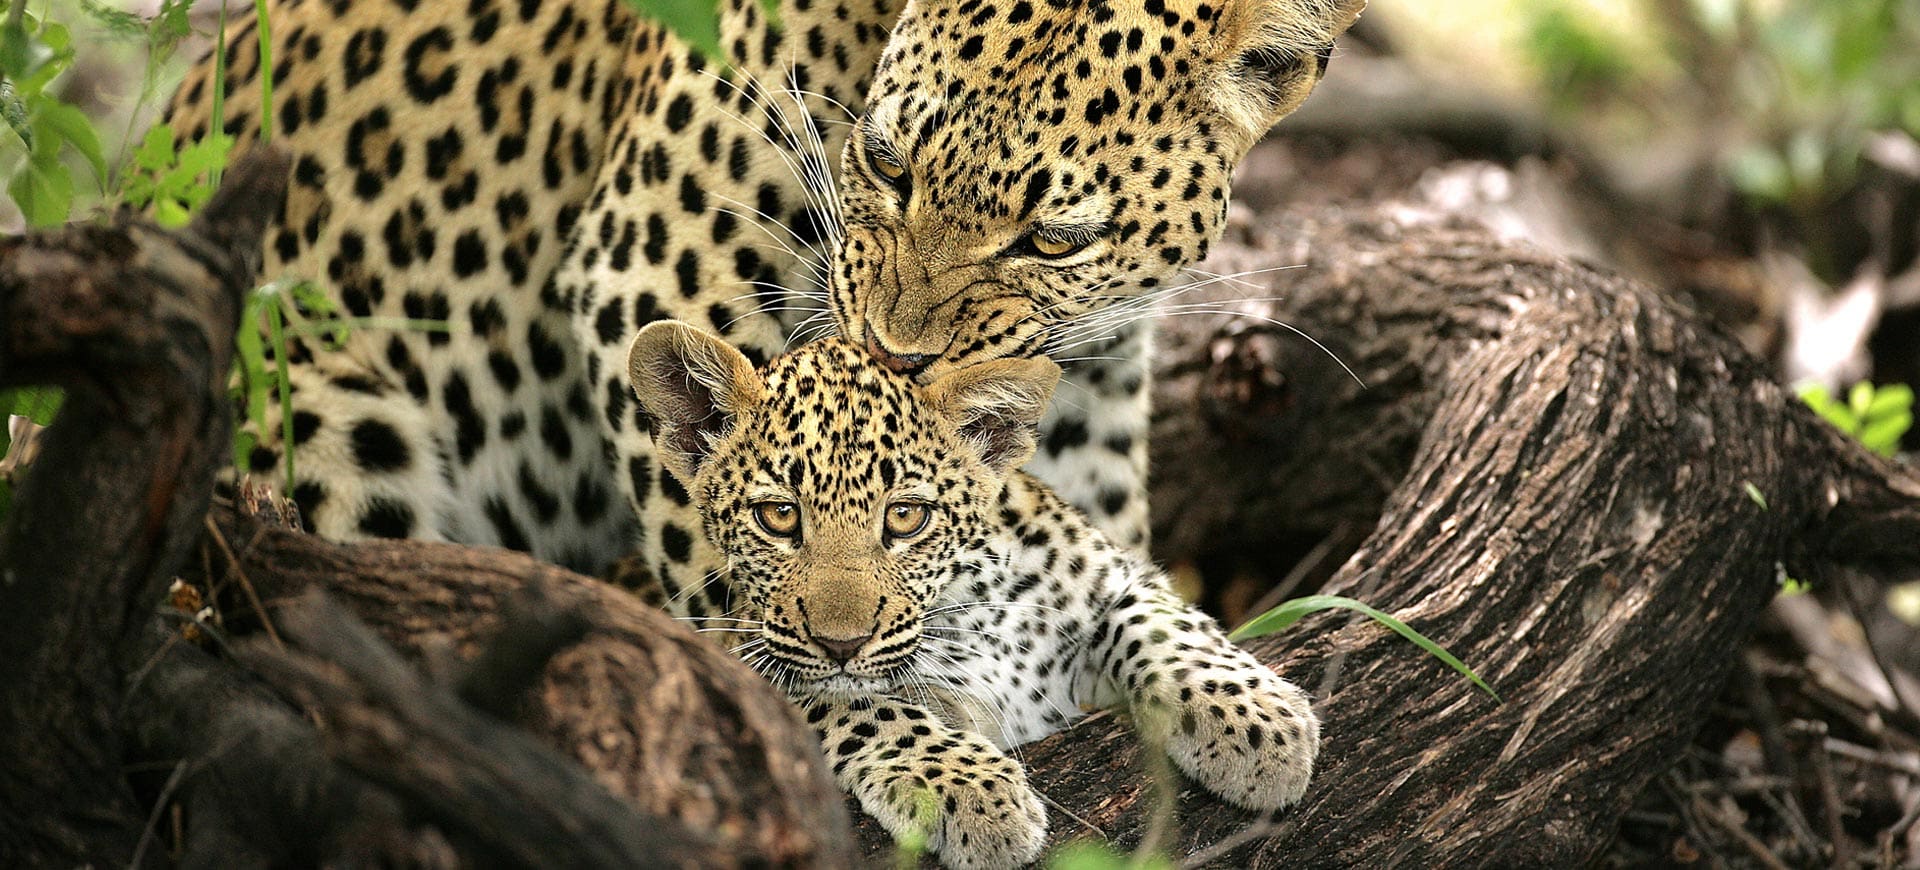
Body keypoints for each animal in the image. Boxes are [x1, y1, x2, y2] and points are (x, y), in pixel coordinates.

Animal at [628, 318, 1319, 868]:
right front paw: (974, 792)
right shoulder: (740, 658)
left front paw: (1260, 727)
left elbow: (1161, 624)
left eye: (906, 517)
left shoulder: (1114, 575)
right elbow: (858, 706)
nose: (841, 644)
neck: (970, 618)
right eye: (777, 516)